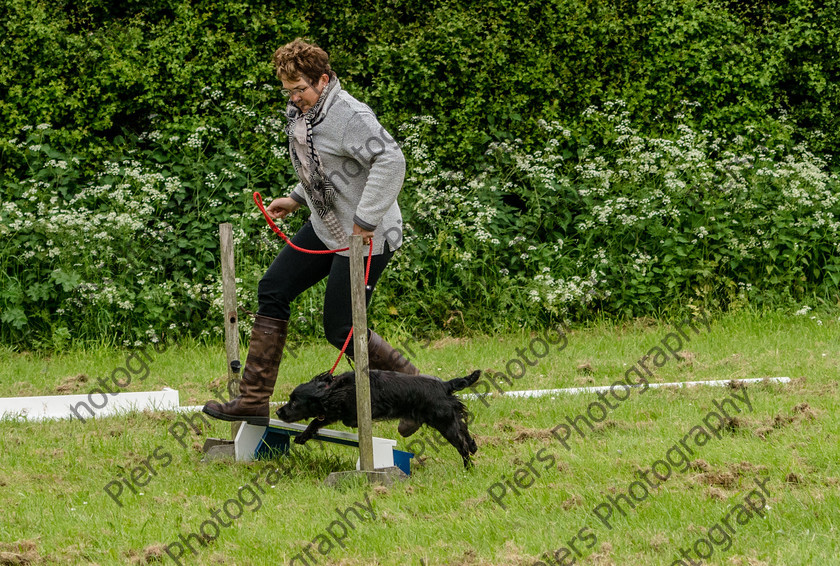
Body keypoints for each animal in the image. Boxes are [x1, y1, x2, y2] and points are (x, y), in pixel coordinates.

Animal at [278, 370, 480, 468]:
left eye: (294, 402)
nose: (279, 412)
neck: (334, 390)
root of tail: (445, 385)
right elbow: (318, 420)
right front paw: (303, 436)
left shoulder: (350, 414)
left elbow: (325, 419)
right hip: (450, 418)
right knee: (464, 432)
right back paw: (474, 447)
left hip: (444, 422)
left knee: (461, 444)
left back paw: (468, 468)